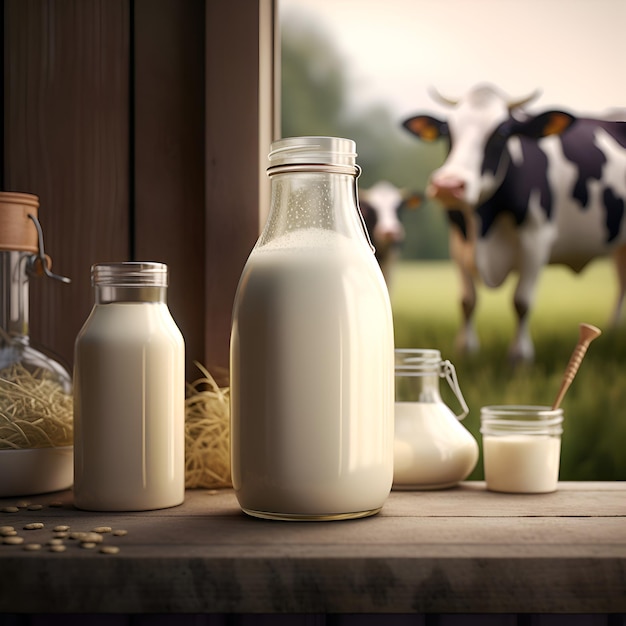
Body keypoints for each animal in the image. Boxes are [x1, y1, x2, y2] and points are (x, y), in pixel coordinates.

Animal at [402, 83, 620, 358]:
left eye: (502, 133)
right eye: (447, 132)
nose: (448, 185)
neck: (485, 223)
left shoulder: (537, 240)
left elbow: (521, 301)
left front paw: (520, 355)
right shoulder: (458, 242)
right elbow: (467, 301)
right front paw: (466, 348)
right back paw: (612, 332)